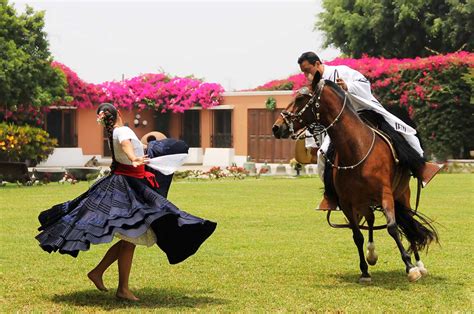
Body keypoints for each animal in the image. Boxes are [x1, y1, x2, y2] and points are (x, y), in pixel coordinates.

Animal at [272, 78, 438, 282]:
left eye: (300, 98)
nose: (277, 127)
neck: (356, 148)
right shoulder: (347, 203)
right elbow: (357, 235)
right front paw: (365, 271)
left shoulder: (385, 194)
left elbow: (392, 227)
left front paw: (410, 267)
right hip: (364, 201)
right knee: (372, 220)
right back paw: (372, 253)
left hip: (401, 194)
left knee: (408, 222)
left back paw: (419, 265)